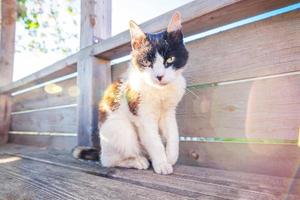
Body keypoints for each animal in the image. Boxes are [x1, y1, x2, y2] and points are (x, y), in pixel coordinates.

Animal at [73, 11, 188, 174]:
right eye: (146, 62)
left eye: (170, 59)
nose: (159, 76)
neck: (159, 92)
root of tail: (101, 149)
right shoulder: (141, 114)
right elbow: (154, 141)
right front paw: (162, 163)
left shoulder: (169, 112)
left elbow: (174, 134)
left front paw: (171, 156)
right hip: (120, 129)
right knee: (109, 160)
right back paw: (137, 161)